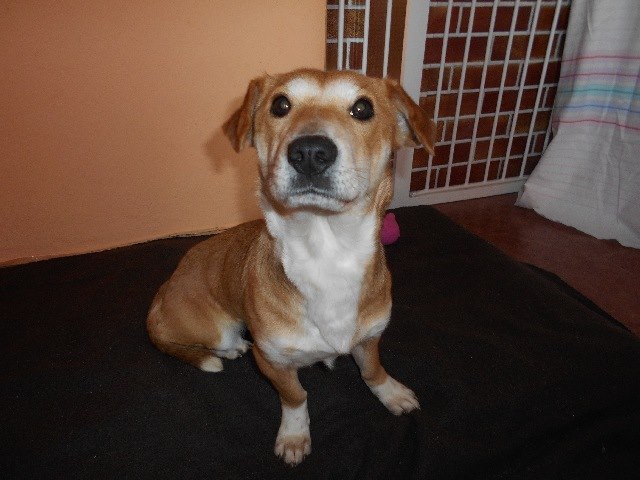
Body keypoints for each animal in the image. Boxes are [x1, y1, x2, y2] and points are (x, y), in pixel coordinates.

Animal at [147, 68, 435, 465]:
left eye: (363, 108)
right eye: (280, 105)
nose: (310, 152)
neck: (327, 253)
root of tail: (159, 298)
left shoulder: (371, 335)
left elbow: (372, 370)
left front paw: (391, 393)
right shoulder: (272, 362)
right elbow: (296, 397)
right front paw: (295, 436)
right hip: (216, 327)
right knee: (213, 343)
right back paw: (230, 348)